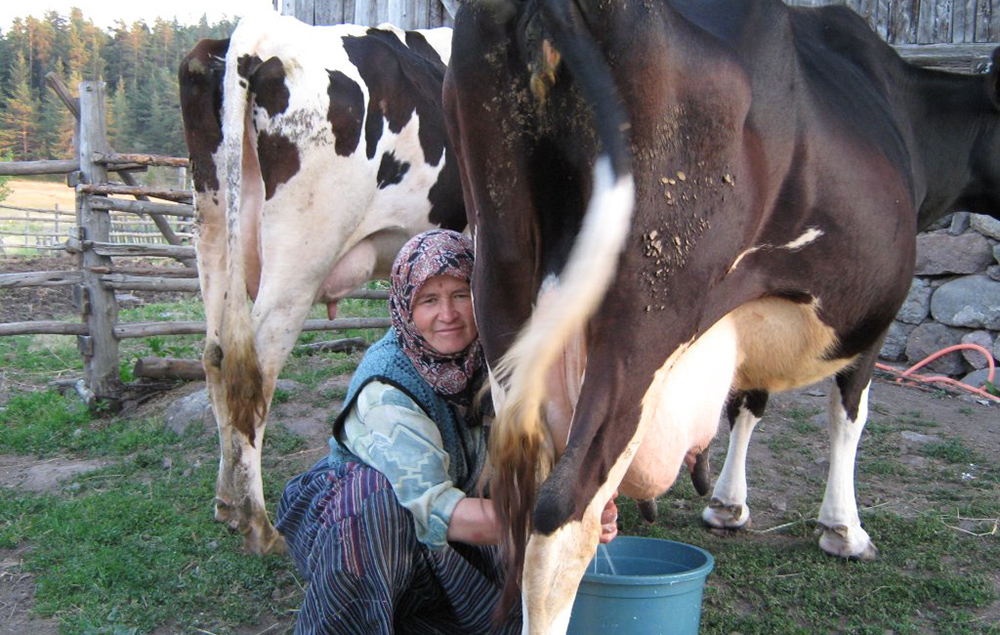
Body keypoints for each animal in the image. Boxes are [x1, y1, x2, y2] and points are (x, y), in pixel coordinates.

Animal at [178, 11, 466, 556]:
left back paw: (227, 503)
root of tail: (261, 31)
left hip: (213, 227)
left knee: (216, 356)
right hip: (302, 248)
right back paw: (258, 525)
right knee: (254, 368)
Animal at [444, 0, 1000, 632]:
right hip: (647, 319)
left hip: (504, 284)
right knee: (562, 518)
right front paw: (844, 531)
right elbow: (848, 415)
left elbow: (748, 403)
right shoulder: (870, 321)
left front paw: (728, 504)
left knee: (518, 494)